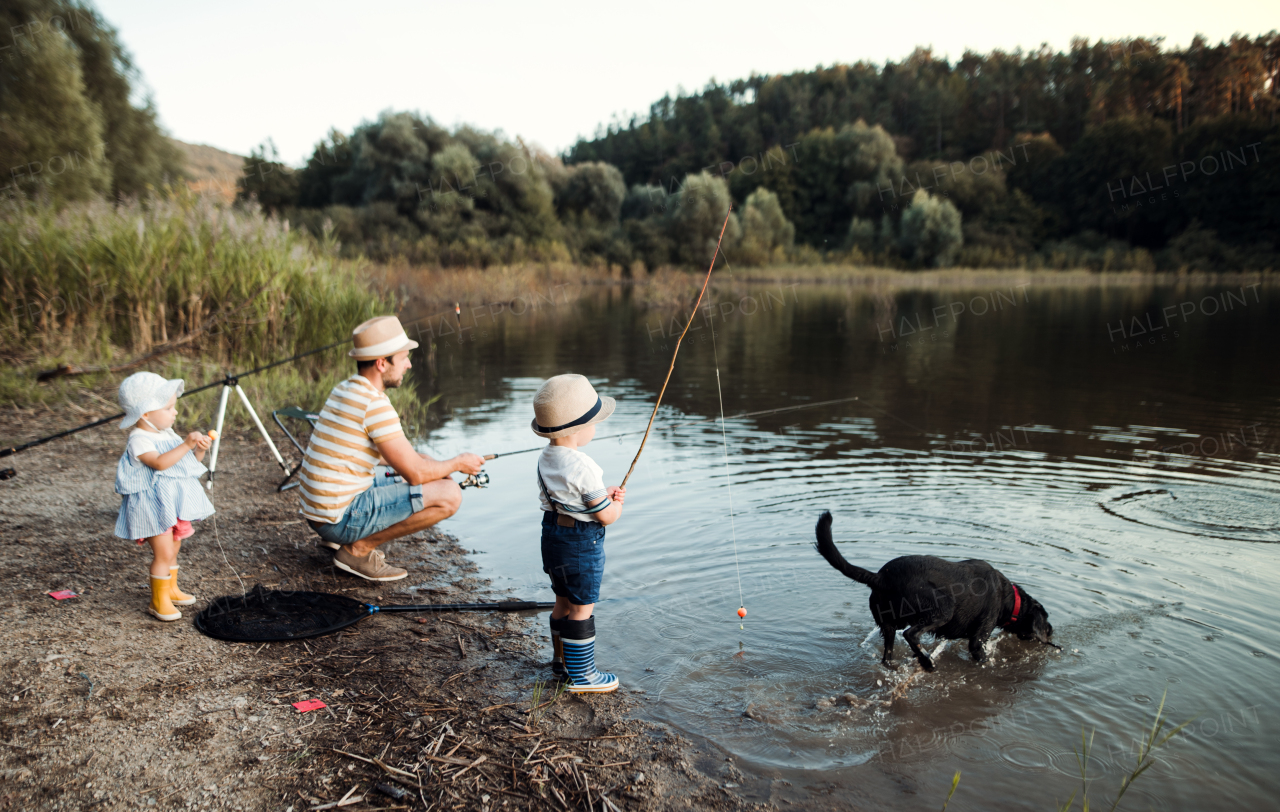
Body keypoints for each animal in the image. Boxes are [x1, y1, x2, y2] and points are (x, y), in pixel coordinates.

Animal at [814, 509, 1054, 665]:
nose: (1051, 631)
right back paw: (928, 663)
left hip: (888, 625)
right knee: (911, 634)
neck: (1009, 598)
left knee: (890, 653)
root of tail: (881, 577)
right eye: (1046, 620)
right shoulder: (979, 638)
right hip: (942, 608)